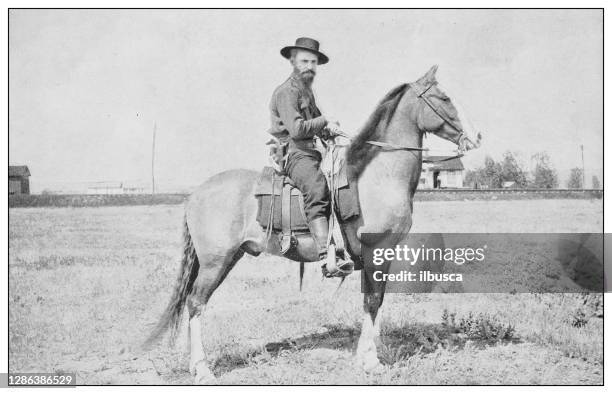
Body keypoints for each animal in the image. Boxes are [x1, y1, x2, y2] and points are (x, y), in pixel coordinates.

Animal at [145, 65, 482, 384]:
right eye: (444, 98)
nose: (476, 137)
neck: (377, 176)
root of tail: (195, 194)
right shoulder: (377, 252)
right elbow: (374, 301)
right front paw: (372, 362)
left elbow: (370, 302)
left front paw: (364, 357)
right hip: (216, 261)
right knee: (196, 303)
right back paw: (202, 371)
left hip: (227, 258)